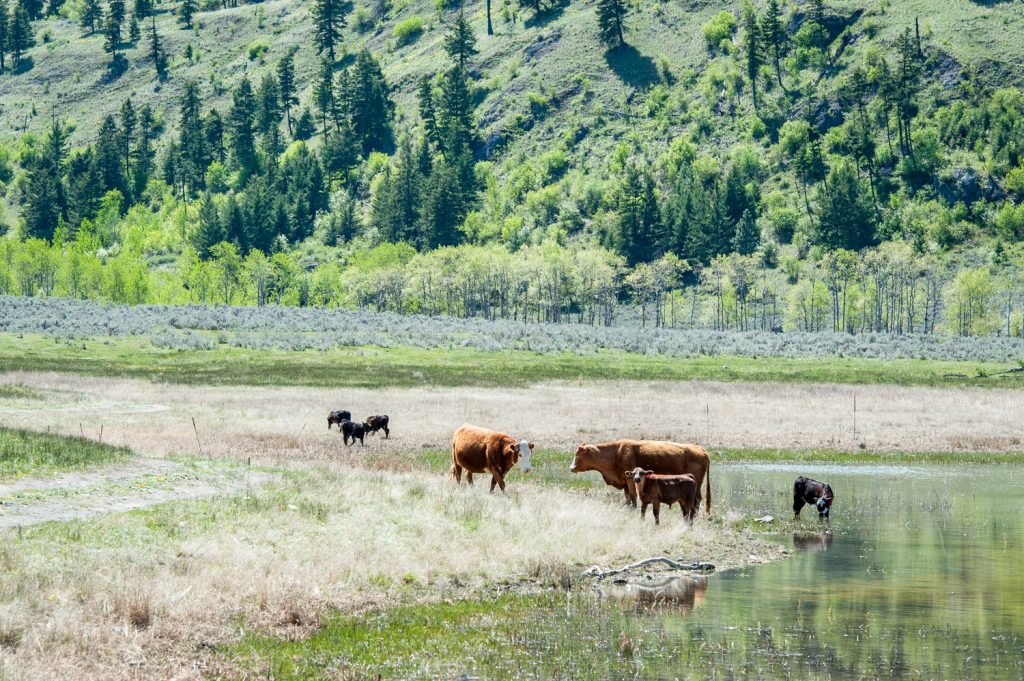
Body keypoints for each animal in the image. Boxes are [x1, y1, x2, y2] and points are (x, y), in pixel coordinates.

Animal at [569, 439, 712, 514]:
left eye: (578, 454)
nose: (571, 468)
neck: (616, 453)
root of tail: (702, 450)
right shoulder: (626, 481)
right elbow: (627, 496)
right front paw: (627, 507)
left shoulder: (630, 480)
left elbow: (633, 495)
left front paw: (633, 508)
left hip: (696, 485)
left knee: (697, 499)